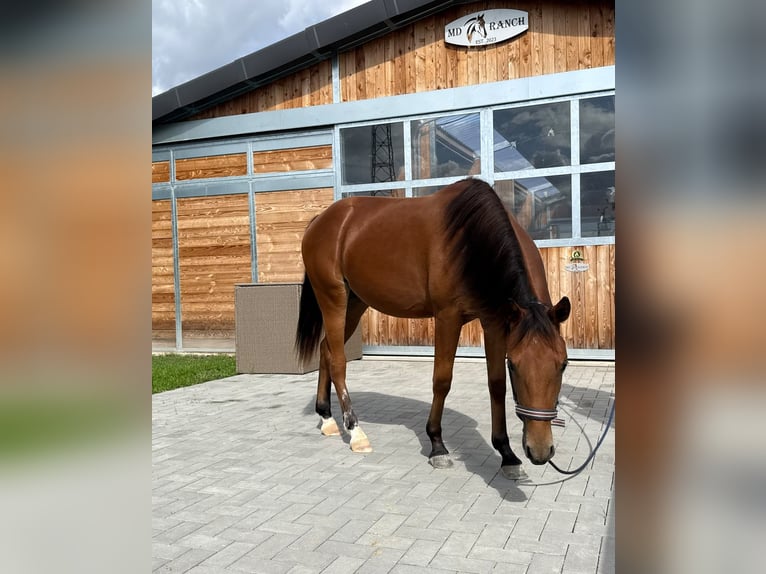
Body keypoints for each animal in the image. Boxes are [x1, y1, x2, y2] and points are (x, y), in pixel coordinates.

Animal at [295, 177, 570, 478]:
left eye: (563, 364)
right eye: (516, 365)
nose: (540, 450)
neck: (471, 239)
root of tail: (321, 220)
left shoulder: (495, 321)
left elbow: (496, 385)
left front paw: (507, 453)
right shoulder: (448, 317)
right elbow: (442, 380)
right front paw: (437, 445)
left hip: (355, 303)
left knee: (326, 350)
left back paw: (327, 418)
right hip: (333, 298)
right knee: (338, 362)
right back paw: (355, 431)